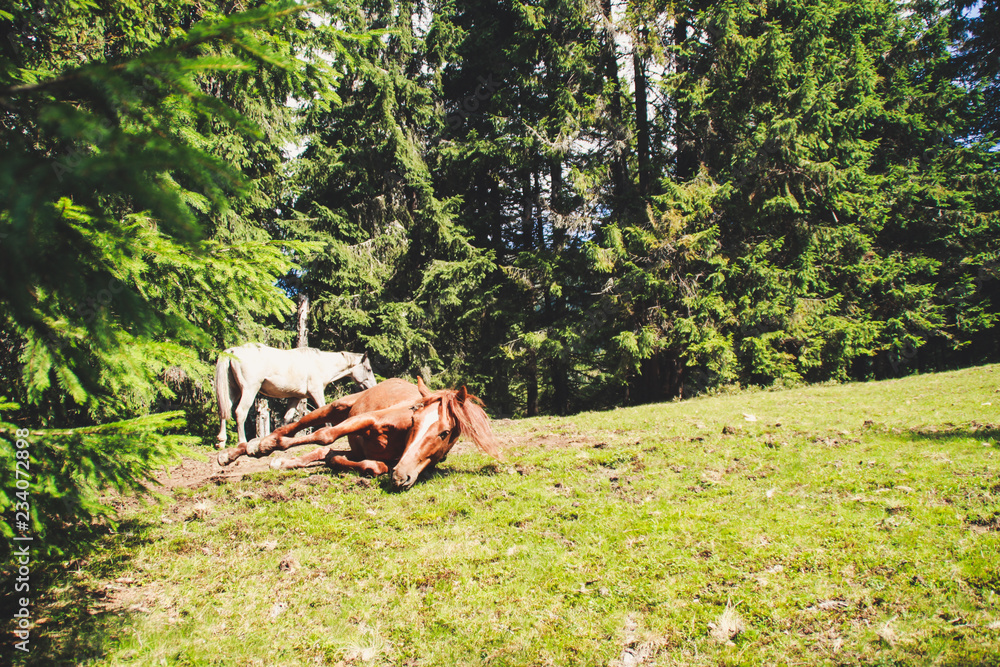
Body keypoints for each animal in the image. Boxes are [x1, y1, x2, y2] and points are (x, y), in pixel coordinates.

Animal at [214, 343, 376, 448]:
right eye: (368, 369)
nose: (373, 387)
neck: (321, 363)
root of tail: (233, 351)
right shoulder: (316, 392)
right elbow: (323, 410)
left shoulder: (296, 398)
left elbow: (286, 419)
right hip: (249, 390)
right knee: (240, 412)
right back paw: (242, 441)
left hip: (233, 391)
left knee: (224, 411)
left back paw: (221, 441)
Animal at [216, 378, 501, 489]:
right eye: (414, 419)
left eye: (445, 433)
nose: (401, 476)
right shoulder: (366, 419)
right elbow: (325, 436)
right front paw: (259, 448)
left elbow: (371, 465)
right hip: (335, 408)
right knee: (295, 429)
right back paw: (250, 448)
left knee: (322, 452)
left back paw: (283, 462)